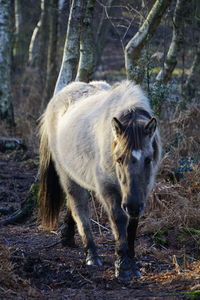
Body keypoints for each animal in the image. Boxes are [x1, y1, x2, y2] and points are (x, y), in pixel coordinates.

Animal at [38, 80, 162, 282]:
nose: (132, 205)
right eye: (119, 159)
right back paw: (92, 255)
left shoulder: (141, 193)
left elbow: (132, 225)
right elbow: (119, 220)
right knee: (80, 210)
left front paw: (133, 265)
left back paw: (68, 238)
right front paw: (123, 267)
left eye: (148, 159)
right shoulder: (108, 189)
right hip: (68, 176)